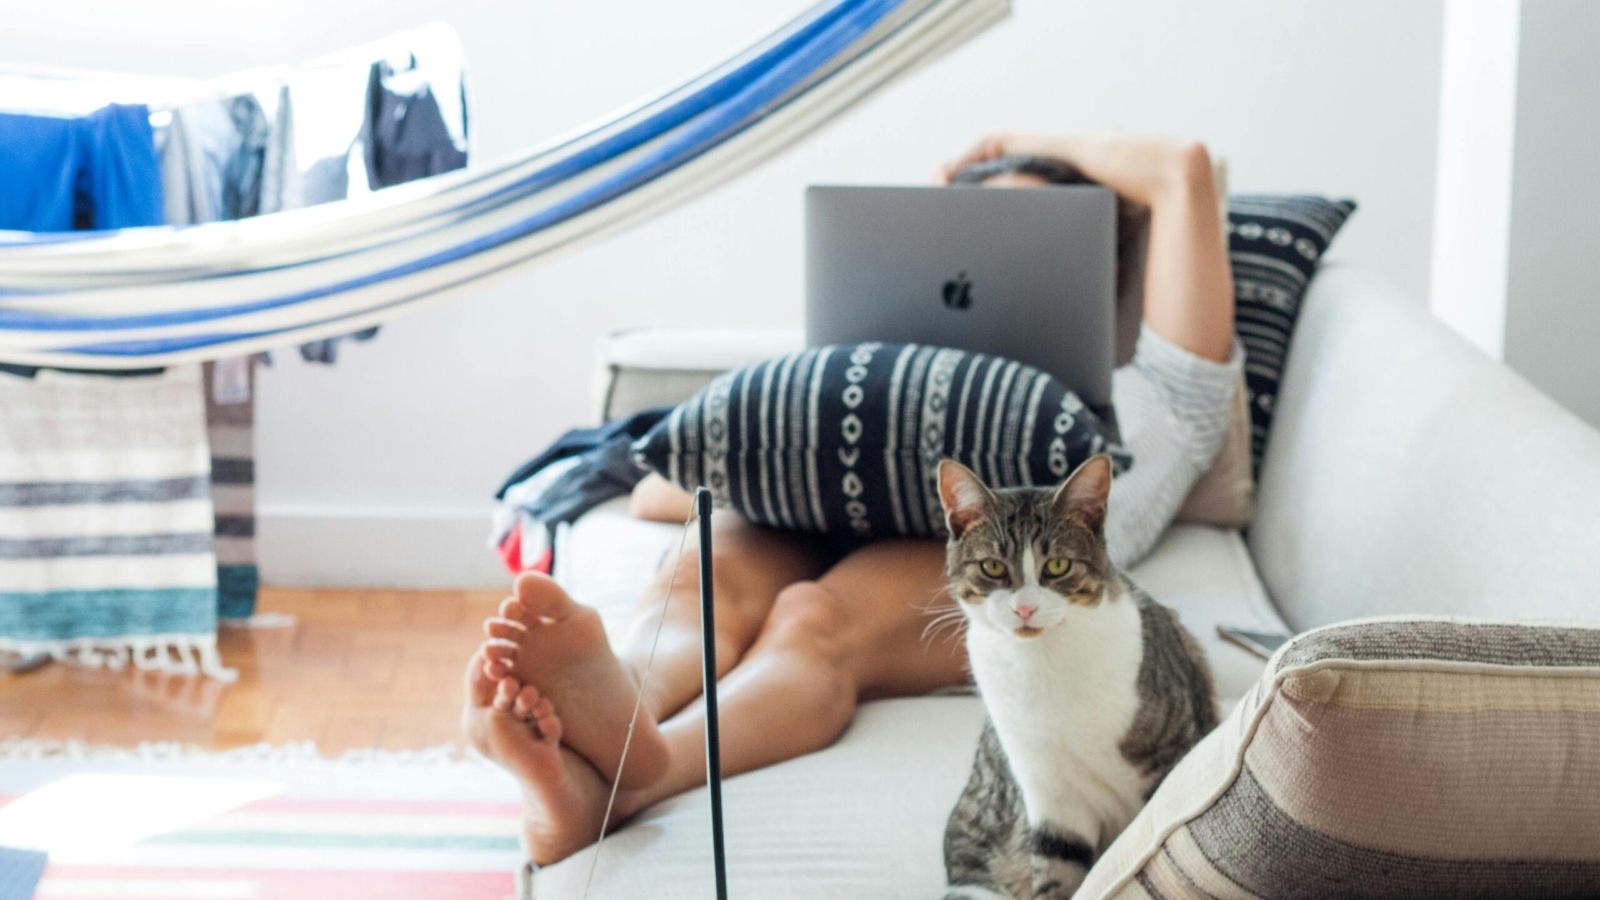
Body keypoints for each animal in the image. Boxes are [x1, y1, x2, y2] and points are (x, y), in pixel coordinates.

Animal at [934, 454, 1209, 896]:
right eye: (992, 567)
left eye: (1058, 565)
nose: (1025, 609)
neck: (1043, 661)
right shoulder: (1050, 795)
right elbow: (1058, 867)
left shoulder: (1170, 755)